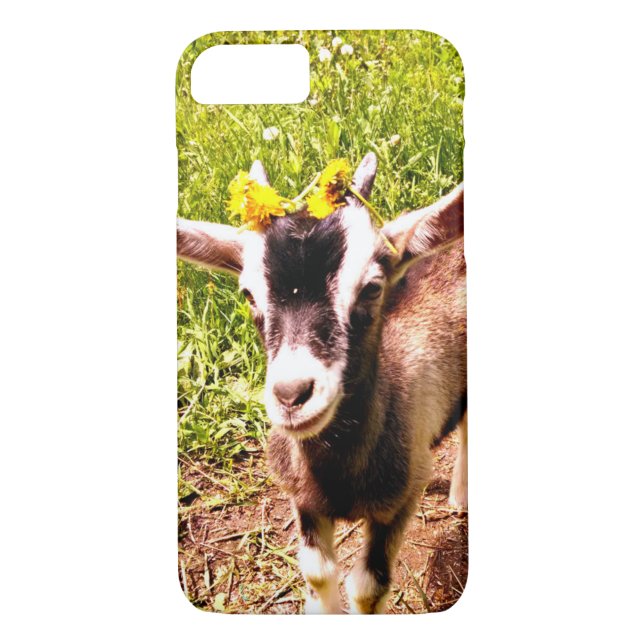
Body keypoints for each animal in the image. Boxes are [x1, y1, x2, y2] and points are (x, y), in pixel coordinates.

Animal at [177, 153, 466, 614]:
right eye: (248, 295)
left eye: (372, 288)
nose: (292, 395)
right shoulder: (304, 501)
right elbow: (317, 571)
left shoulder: (401, 497)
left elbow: (368, 587)